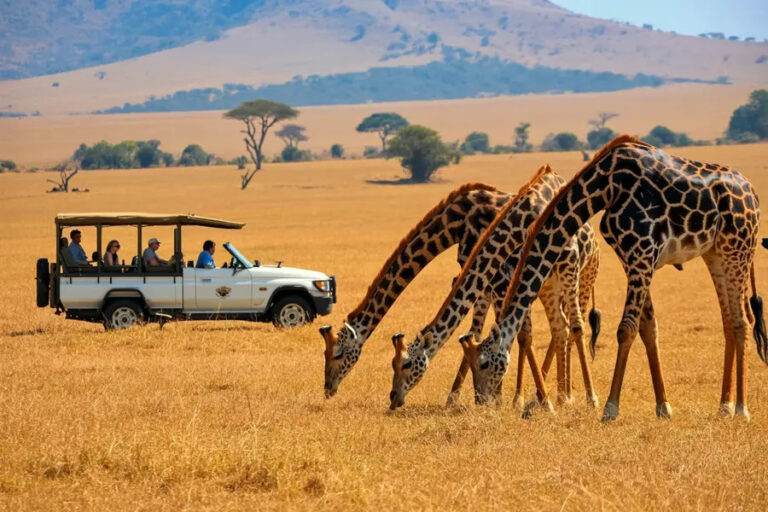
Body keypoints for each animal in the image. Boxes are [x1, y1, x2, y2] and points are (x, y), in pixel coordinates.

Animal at [389, 165, 602, 410]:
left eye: (406, 364)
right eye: (392, 363)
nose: (393, 397)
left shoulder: (502, 285)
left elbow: (520, 336)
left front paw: (512, 400)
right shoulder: (492, 286)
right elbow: (481, 332)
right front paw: (460, 398)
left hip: (579, 277)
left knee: (575, 326)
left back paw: (581, 397)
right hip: (551, 287)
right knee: (561, 327)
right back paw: (558, 395)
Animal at [461, 135, 768, 422]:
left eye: (484, 363)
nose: (483, 401)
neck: (606, 188)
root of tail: (753, 192)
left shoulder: (642, 253)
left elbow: (626, 329)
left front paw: (610, 407)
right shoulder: (633, 258)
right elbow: (647, 328)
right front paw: (663, 406)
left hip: (737, 249)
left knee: (741, 321)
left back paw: (741, 409)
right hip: (715, 253)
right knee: (729, 322)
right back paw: (724, 406)